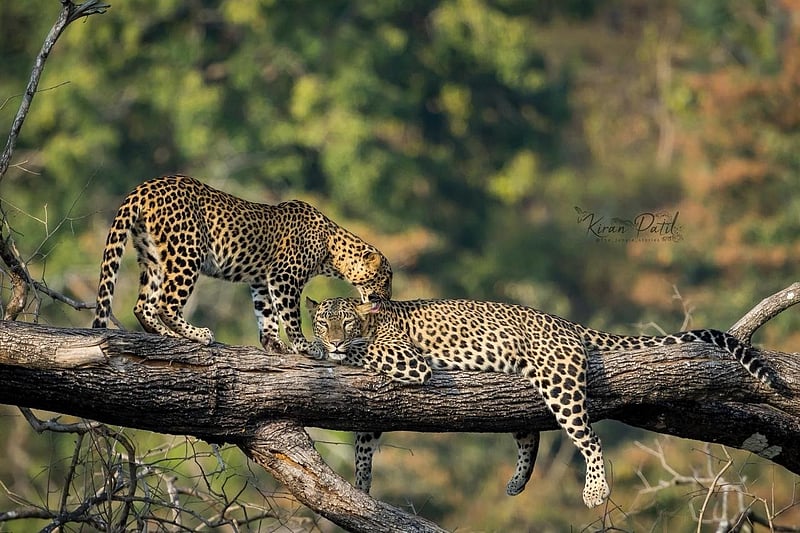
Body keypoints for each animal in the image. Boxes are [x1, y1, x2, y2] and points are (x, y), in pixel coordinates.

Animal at [92, 175, 392, 353]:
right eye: (386, 279)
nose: (388, 298)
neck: (332, 248)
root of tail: (146, 186)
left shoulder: (262, 280)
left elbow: (267, 315)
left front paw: (275, 345)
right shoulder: (284, 277)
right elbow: (290, 316)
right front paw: (304, 346)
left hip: (153, 257)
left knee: (143, 305)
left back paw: (169, 336)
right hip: (187, 253)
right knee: (166, 303)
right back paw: (197, 334)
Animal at [307, 296, 774, 508]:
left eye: (345, 323)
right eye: (322, 320)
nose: (332, 338)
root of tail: (565, 322)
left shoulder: (409, 360)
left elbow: (361, 352)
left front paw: (317, 350)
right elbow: (363, 445)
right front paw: (361, 487)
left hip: (559, 382)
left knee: (589, 438)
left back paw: (596, 491)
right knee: (529, 432)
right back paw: (518, 482)